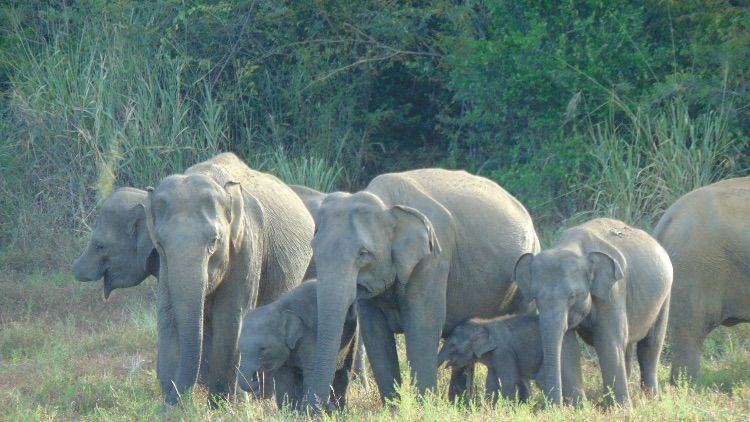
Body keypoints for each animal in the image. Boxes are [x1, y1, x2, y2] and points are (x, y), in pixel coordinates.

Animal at [144, 152, 314, 407]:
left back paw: (260, 399)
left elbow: (231, 316)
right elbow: (169, 316)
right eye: (160, 243)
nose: (172, 402)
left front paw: (225, 404)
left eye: (214, 241)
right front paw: (172, 402)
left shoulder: (247, 245)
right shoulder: (165, 266)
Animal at [238, 280, 358, 410]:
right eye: (239, 348)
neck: (278, 308)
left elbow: (311, 370)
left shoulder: (308, 336)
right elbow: (283, 378)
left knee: (344, 371)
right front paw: (289, 411)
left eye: (263, 349)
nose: (258, 380)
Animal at [302, 168, 539, 408]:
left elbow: (422, 326)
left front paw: (424, 407)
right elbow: (375, 333)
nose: (319, 410)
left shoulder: (433, 260)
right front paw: (394, 409)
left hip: (522, 279)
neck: (385, 202)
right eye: (314, 248)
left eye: (363, 253)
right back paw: (460, 405)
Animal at [438, 314, 585, 404]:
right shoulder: (495, 358)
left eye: (452, 345)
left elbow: (508, 380)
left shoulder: (503, 352)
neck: (484, 323)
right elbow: (491, 382)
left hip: (566, 351)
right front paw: (491, 407)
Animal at [514, 218, 672, 406]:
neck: (574, 246)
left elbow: (608, 342)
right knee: (627, 345)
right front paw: (579, 407)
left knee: (650, 345)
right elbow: (567, 346)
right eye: (535, 297)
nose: (553, 406)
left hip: (665, 295)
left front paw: (621, 408)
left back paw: (651, 399)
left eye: (572, 296)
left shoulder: (614, 290)